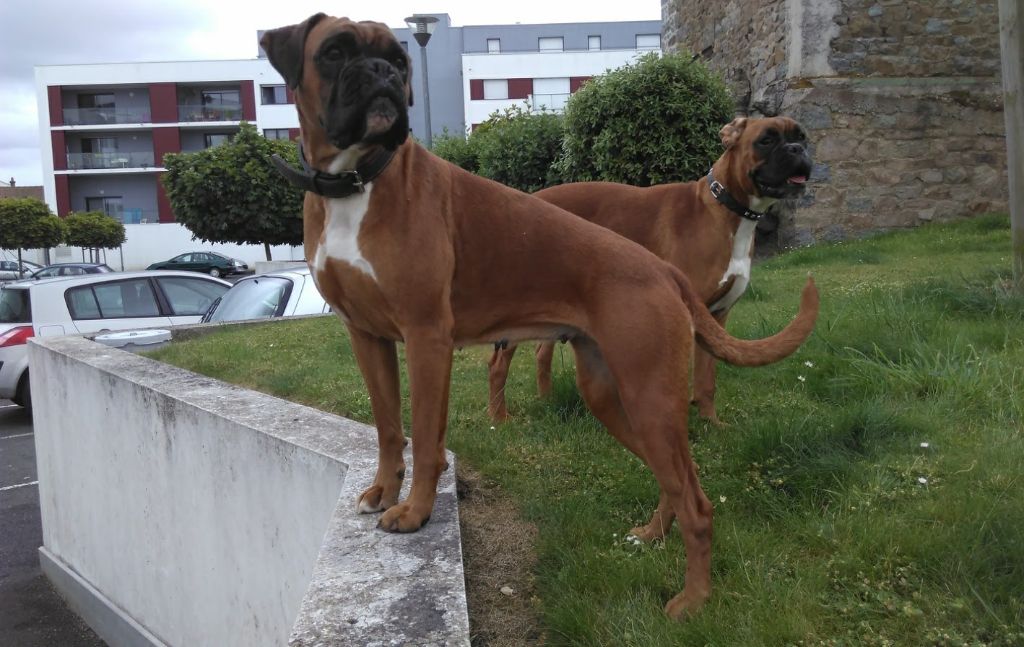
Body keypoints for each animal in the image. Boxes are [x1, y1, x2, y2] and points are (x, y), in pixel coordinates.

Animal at [487, 117, 813, 425]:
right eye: (766, 140)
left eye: (802, 136)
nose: (798, 149)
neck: (724, 206)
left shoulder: (716, 319)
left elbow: (706, 380)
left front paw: (711, 421)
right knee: (498, 364)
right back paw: (499, 419)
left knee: (542, 353)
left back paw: (547, 401)